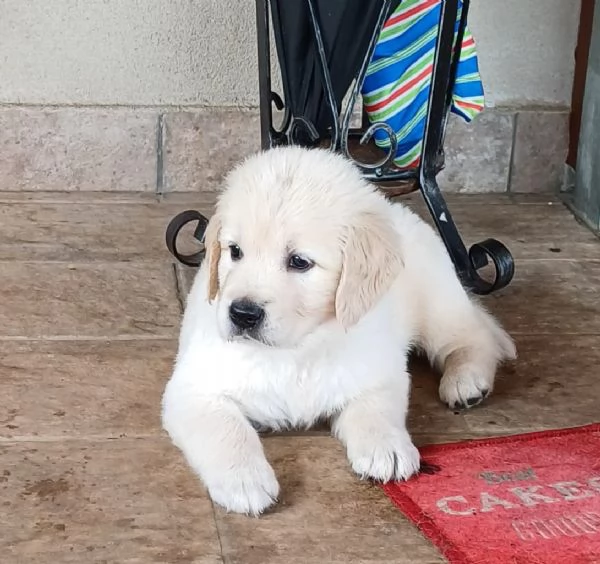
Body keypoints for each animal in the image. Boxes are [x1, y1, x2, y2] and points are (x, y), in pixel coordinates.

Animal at [161, 145, 516, 516]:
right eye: (235, 251)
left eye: (299, 262)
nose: (242, 314)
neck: (297, 350)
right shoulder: (194, 388)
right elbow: (226, 429)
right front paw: (244, 480)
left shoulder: (378, 369)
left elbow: (376, 408)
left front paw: (387, 447)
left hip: (437, 303)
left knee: (473, 336)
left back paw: (466, 382)